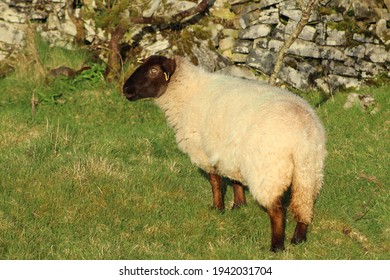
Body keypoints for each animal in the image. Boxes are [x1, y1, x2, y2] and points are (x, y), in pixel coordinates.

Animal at [122, 54, 326, 252]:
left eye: (153, 70)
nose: (126, 90)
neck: (188, 93)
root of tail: (301, 134)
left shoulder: (203, 151)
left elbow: (215, 181)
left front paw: (217, 208)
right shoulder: (229, 152)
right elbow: (235, 180)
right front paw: (238, 206)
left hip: (268, 170)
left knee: (276, 210)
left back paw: (276, 247)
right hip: (309, 171)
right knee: (304, 204)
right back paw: (298, 239)